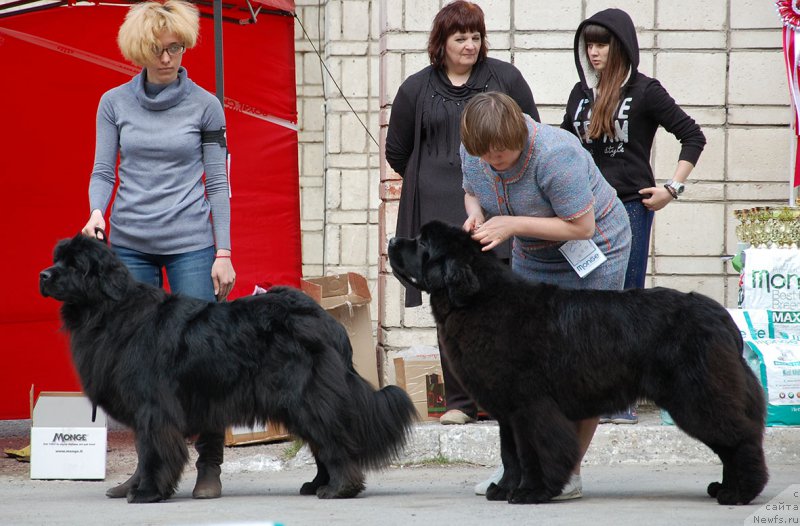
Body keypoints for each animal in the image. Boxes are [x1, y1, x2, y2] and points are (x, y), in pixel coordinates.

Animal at [38, 235, 416, 504]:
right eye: (57, 259)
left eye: (74, 265)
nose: (43, 274)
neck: (108, 311)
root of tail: (327, 322)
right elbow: (146, 451)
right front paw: (139, 488)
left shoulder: (153, 408)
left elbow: (153, 451)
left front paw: (146, 492)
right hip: (298, 403)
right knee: (321, 445)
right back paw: (316, 484)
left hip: (308, 398)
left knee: (333, 441)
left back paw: (338, 489)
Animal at [388, 222, 768, 508]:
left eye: (422, 242)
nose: (392, 240)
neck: (478, 301)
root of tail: (721, 317)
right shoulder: (508, 411)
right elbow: (510, 454)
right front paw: (506, 489)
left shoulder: (530, 406)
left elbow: (532, 451)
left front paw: (532, 492)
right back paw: (725, 488)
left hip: (697, 396)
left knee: (740, 438)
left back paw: (740, 492)